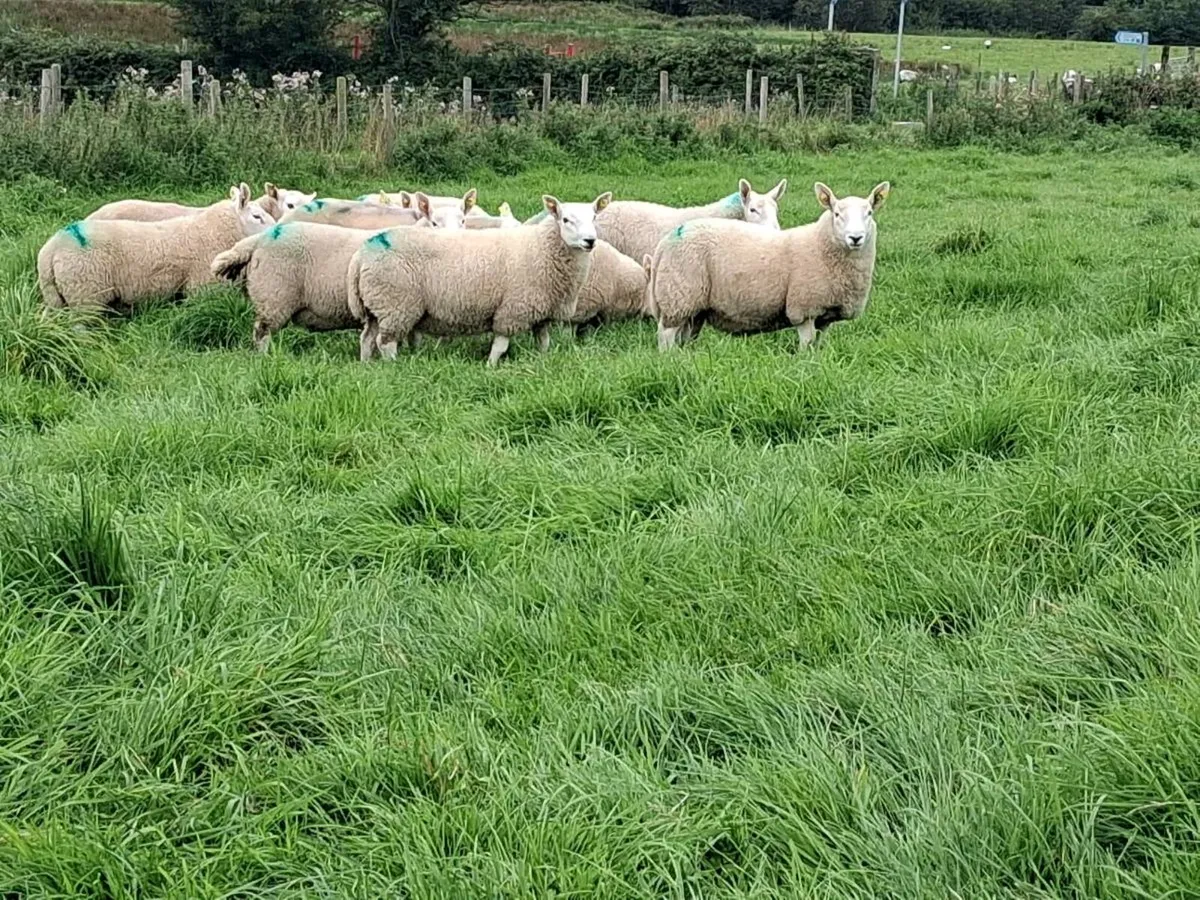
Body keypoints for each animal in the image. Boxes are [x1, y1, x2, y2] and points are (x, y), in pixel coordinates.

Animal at [39, 183, 274, 312]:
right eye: (257, 216)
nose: (277, 230)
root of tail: (50, 250)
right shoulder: (202, 288)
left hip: (56, 298)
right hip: (85, 295)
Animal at [347, 192, 611, 366]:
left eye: (594, 218)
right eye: (566, 220)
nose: (590, 241)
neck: (543, 248)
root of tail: (361, 255)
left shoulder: (541, 311)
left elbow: (543, 341)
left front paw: (542, 360)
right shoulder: (512, 309)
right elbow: (501, 345)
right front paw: (490, 367)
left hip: (378, 307)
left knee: (367, 339)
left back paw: (366, 365)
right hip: (396, 304)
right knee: (385, 342)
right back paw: (393, 366)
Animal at [650, 181, 889, 352]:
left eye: (869, 213)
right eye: (837, 214)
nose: (855, 238)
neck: (821, 245)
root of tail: (665, 242)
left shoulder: (825, 315)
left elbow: (818, 346)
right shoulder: (804, 309)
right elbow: (807, 346)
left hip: (694, 308)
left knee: (684, 337)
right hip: (678, 296)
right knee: (665, 337)